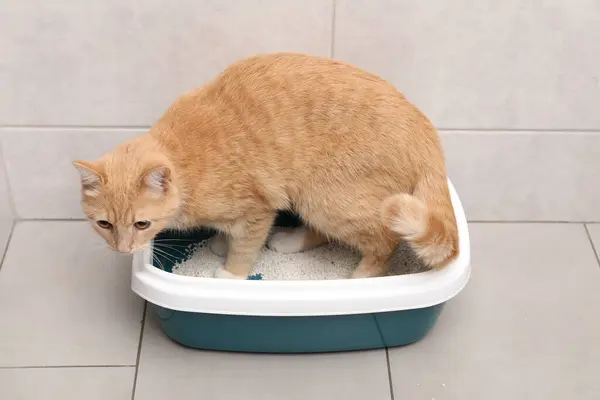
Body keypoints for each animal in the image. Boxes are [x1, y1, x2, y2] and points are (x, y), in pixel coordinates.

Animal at [72, 52, 458, 278]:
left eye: (142, 224)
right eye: (104, 224)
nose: (122, 249)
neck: (185, 157)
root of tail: (426, 133)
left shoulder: (257, 211)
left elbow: (245, 248)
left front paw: (231, 273)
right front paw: (220, 242)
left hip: (328, 199)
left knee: (382, 242)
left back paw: (360, 281)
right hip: (316, 198)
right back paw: (292, 241)